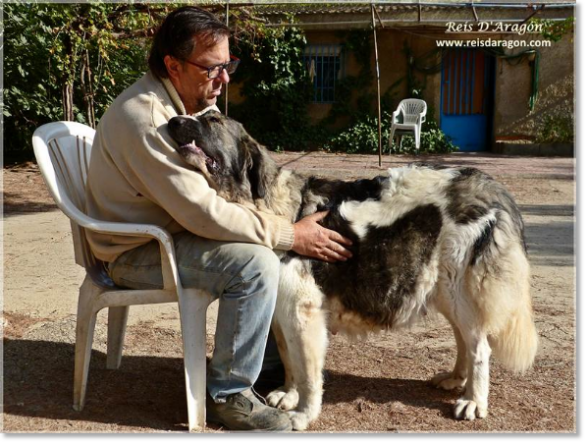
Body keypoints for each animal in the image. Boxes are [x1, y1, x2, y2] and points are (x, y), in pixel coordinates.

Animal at [168, 110, 540, 430]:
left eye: (212, 120)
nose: (173, 121)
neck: (272, 207)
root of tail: (490, 185)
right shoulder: (282, 312)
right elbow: (289, 358)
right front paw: (288, 394)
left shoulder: (303, 313)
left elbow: (309, 372)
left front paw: (304, 412)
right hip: (444, 289)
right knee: (464, 337)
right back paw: (455, 379)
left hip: (459, 290)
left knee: (480, 347)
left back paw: (474, 400)